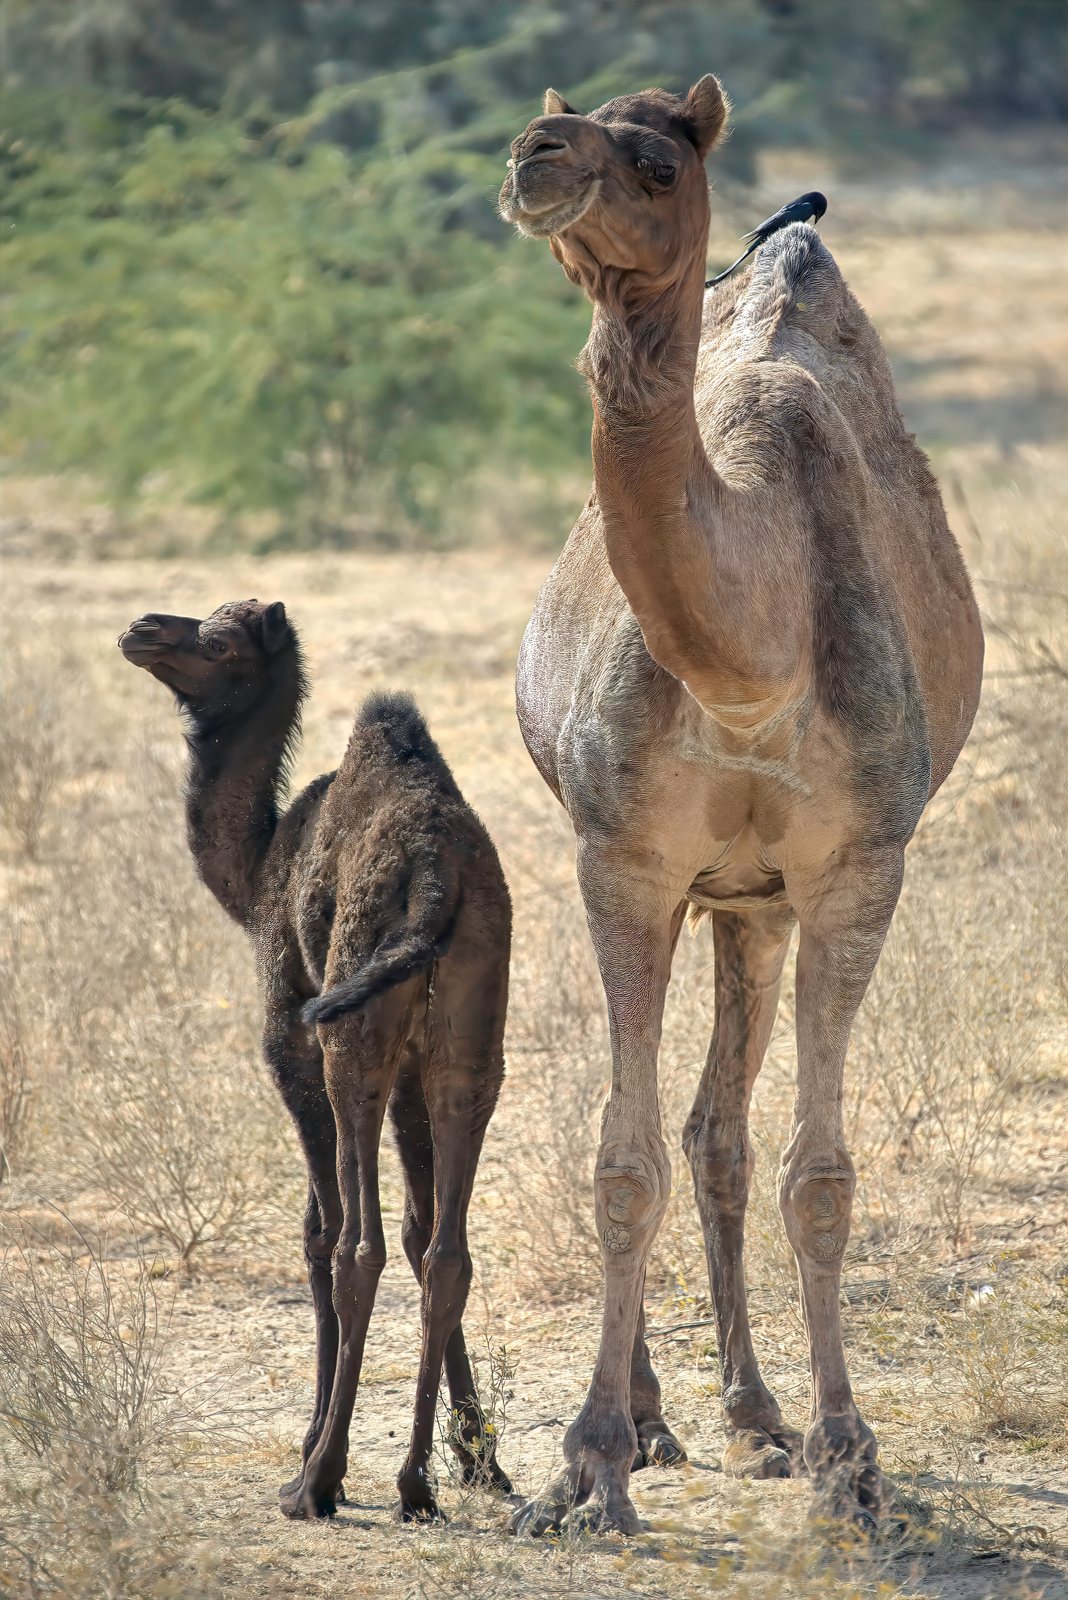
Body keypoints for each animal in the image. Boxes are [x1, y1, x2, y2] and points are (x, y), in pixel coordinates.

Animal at [118, 599, 513, 1523]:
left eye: (219, 640)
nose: (143, 628)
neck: (260, 865)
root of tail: (435, 874)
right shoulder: (415, 1076)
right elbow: (421, 1232)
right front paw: (478, 1461)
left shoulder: (286, 1039)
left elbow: (318, 1232)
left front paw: (307, 1447)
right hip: (471, 1046)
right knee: (449, 1251)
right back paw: (415, 1484)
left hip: (347, 1036)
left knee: (354, 1249)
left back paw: (320, 1481)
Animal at [498, 77, 983, 1536]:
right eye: (552, 120)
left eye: (657, 161)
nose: (533, 156)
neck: (749, 658)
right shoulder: (621, 857)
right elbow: (618, 1162)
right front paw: (585, 1467)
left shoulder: (858, 867)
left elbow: (818, 1177)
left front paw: (851, 1460)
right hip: (702, 892)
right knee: (677, 1129)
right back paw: (666, 1420)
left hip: (758, 904)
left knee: (721, 1128)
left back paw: (758, 1417)